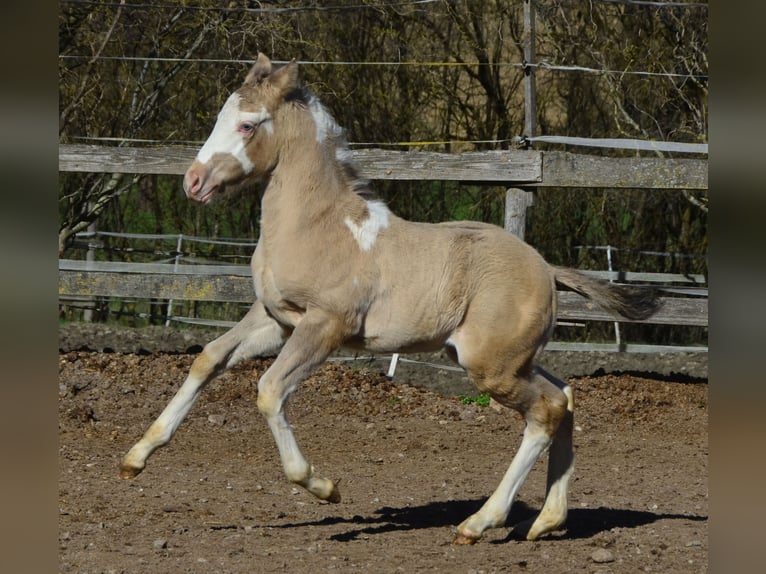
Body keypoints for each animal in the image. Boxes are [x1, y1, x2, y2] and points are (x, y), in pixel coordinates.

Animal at [120, 56, 660, 548]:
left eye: (248, 124)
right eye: (219, 116)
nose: (193, 182)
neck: (317, 226)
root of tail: (547, 269)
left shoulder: (325, 327)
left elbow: (270, 391)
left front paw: (324, 486)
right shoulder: (276, 321)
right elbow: (208, 358)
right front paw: (135, 457)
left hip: (493, 368)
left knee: (546, 410)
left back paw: (479, 523)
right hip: (506, 359)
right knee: (565, 396)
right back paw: (545, 521)